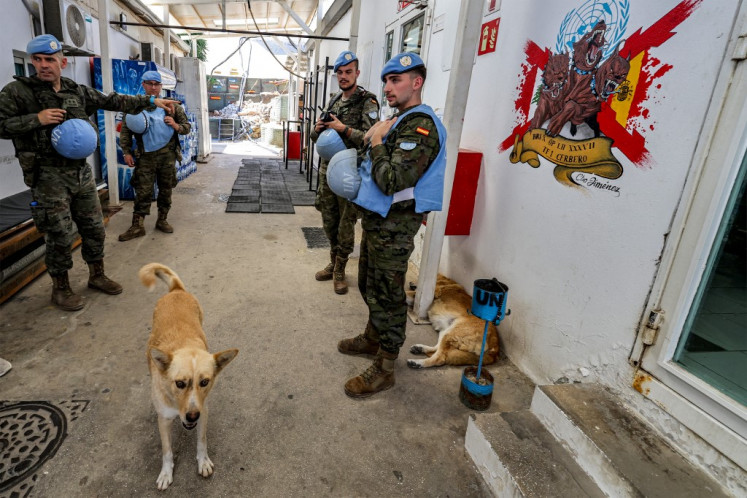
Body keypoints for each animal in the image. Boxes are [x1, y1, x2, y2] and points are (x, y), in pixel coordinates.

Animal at [137, 262, 237, 492]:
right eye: (180, 383)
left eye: (205, 382)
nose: (192, 416)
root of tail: (176, 290)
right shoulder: (164, 420)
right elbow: (166, 451)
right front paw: (166, 473)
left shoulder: (204, 411)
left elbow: (202, 441)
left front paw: (203, 461)